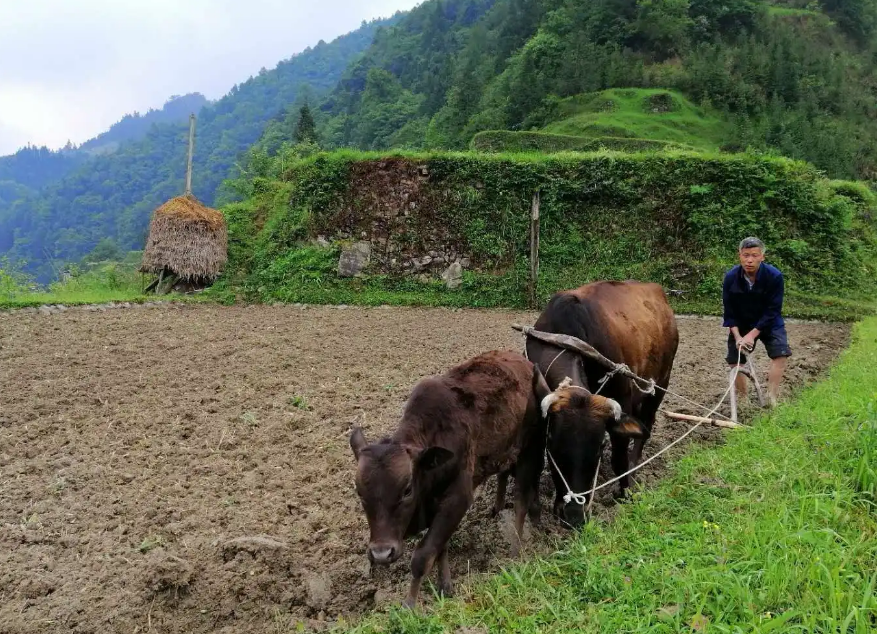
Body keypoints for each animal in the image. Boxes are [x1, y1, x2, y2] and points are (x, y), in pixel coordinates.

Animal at [350, 348, 548, 604]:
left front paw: (410, 604)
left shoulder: (457, 499)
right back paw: (498, 508)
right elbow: (440, 547)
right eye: (360, 492)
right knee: (504, 475)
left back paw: (516, 550)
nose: (381, 553)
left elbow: (423, 556)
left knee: (522, 501)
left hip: (529, 449)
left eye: (406, 490)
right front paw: (444, 586)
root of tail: (524, 362)